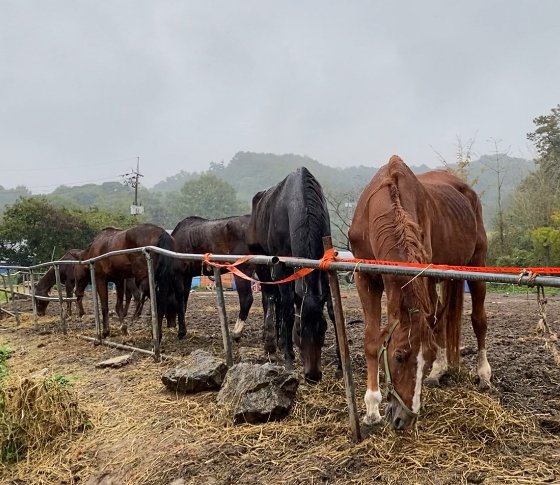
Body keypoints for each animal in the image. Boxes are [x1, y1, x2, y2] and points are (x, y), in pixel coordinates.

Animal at [246, 166, 336, 382]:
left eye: (323, 328)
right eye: (298, 329)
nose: (313, 375)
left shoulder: (323, 265)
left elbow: (331, 309)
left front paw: (340, 364)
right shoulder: (281, 265)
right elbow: (287, 308)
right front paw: (288, 358)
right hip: (262, 262)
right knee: (270, 297)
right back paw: (270, 342)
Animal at [348, 154, 488, 428]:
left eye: (425, 359)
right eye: (399, 356)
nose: (404, 419)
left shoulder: (424, 273)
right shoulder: (365, 278)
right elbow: (371, 340)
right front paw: (372, 409)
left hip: (477, 264)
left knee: (478, 320)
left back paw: (484, 374)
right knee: (441, 319)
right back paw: (441, 371)